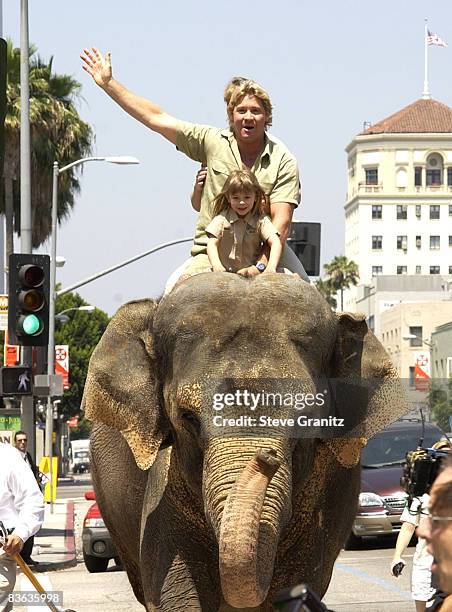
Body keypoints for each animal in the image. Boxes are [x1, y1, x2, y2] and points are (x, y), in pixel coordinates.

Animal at [82, 274, 410, 612]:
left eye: (306, 417)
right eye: (188, 416)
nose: (266, 457)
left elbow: (299, 583)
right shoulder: (164, 486)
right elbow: (176, 595)